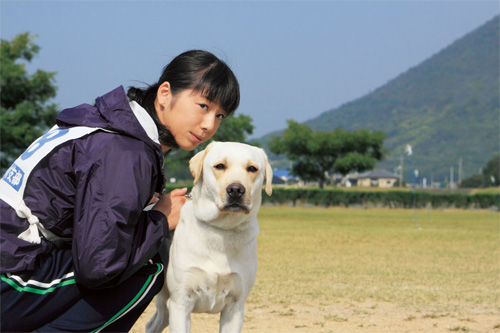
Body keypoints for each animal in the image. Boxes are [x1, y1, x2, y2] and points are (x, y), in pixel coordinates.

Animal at [146, 141, 272, 332]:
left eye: (252, 168)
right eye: (220, 166)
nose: (236, 190)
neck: (220, 229)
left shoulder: (236, 306)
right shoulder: (180, 303)